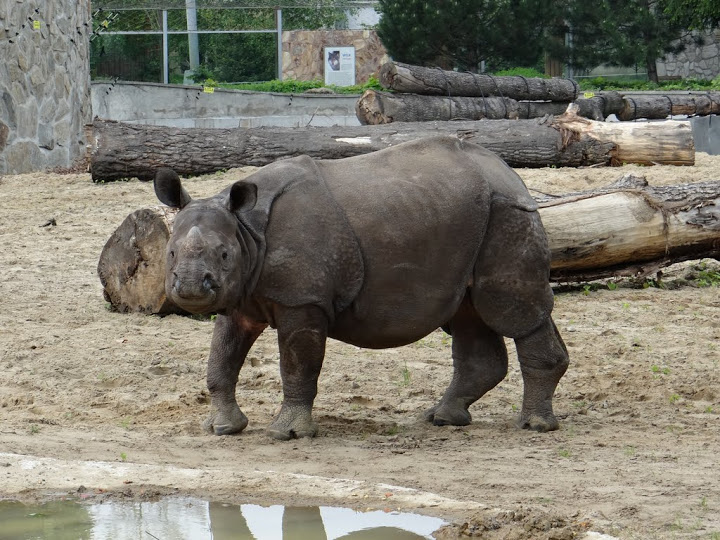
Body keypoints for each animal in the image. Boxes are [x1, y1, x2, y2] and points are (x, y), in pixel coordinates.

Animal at [153, 136, 569, 440]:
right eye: (170, 252)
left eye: (224, 254)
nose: (190, 287)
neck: (245, 230)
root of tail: (509, 172)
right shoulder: (241, 298)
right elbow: (221, 358)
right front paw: (222, 428)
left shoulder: (303, 300)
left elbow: (297, 363)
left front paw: (288, 434)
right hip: (477, 218)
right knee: (469, 313)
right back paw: (442, 419)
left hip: (509, 212)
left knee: (512, 311)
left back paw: (533, 427)